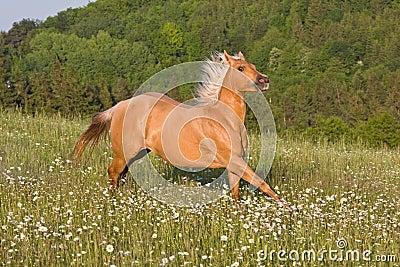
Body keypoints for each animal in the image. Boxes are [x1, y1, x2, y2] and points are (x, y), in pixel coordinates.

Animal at [72, 50, 290, 209]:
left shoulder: (234, 163)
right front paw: (289, 209)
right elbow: (261, 183)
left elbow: (236, 192)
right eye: (241, 68)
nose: (264, 80)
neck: (225, 120)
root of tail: (119, 106)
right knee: (113, 172)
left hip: (137, 153)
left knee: (122, 174)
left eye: (254, 67)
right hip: (124, 151)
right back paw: (112, 203)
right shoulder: (233, 159)